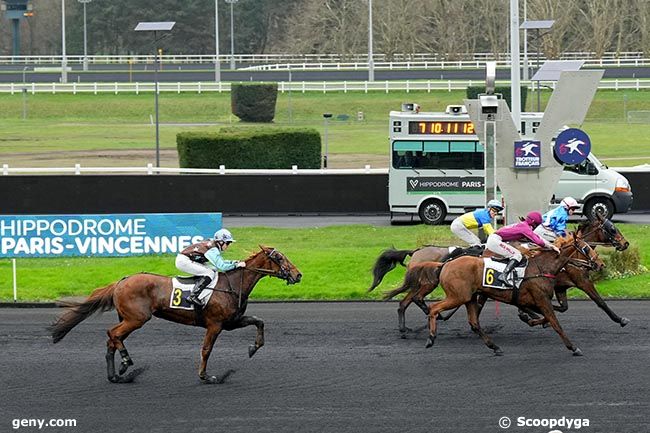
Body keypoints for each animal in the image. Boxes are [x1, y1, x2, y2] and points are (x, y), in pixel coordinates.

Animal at [50, 245, 302, 384]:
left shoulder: (231, 322)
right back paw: (125, 363)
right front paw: (206, 377)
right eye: (279, 258)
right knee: (112, 334)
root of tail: (122, 281)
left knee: (113, 339)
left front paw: (253, 348)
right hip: (137, 318)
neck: (231, 284)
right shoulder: (215, 325)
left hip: (129, 318)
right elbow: (206, 350)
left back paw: (117, 374)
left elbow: (259, 322)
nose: (298, 275)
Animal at [426, 235, 604, 356]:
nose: (600, 264)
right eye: (586, 248)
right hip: (458, 296)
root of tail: (445, 265)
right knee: (433, 308)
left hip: (469, 297)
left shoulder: (532, 301)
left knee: (474, 322)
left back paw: (495, 347)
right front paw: (573, 347)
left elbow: (546, 317)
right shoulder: (541, 299)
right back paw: (431, 338)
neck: (541, 267)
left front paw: (530, 319)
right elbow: (555, 323)